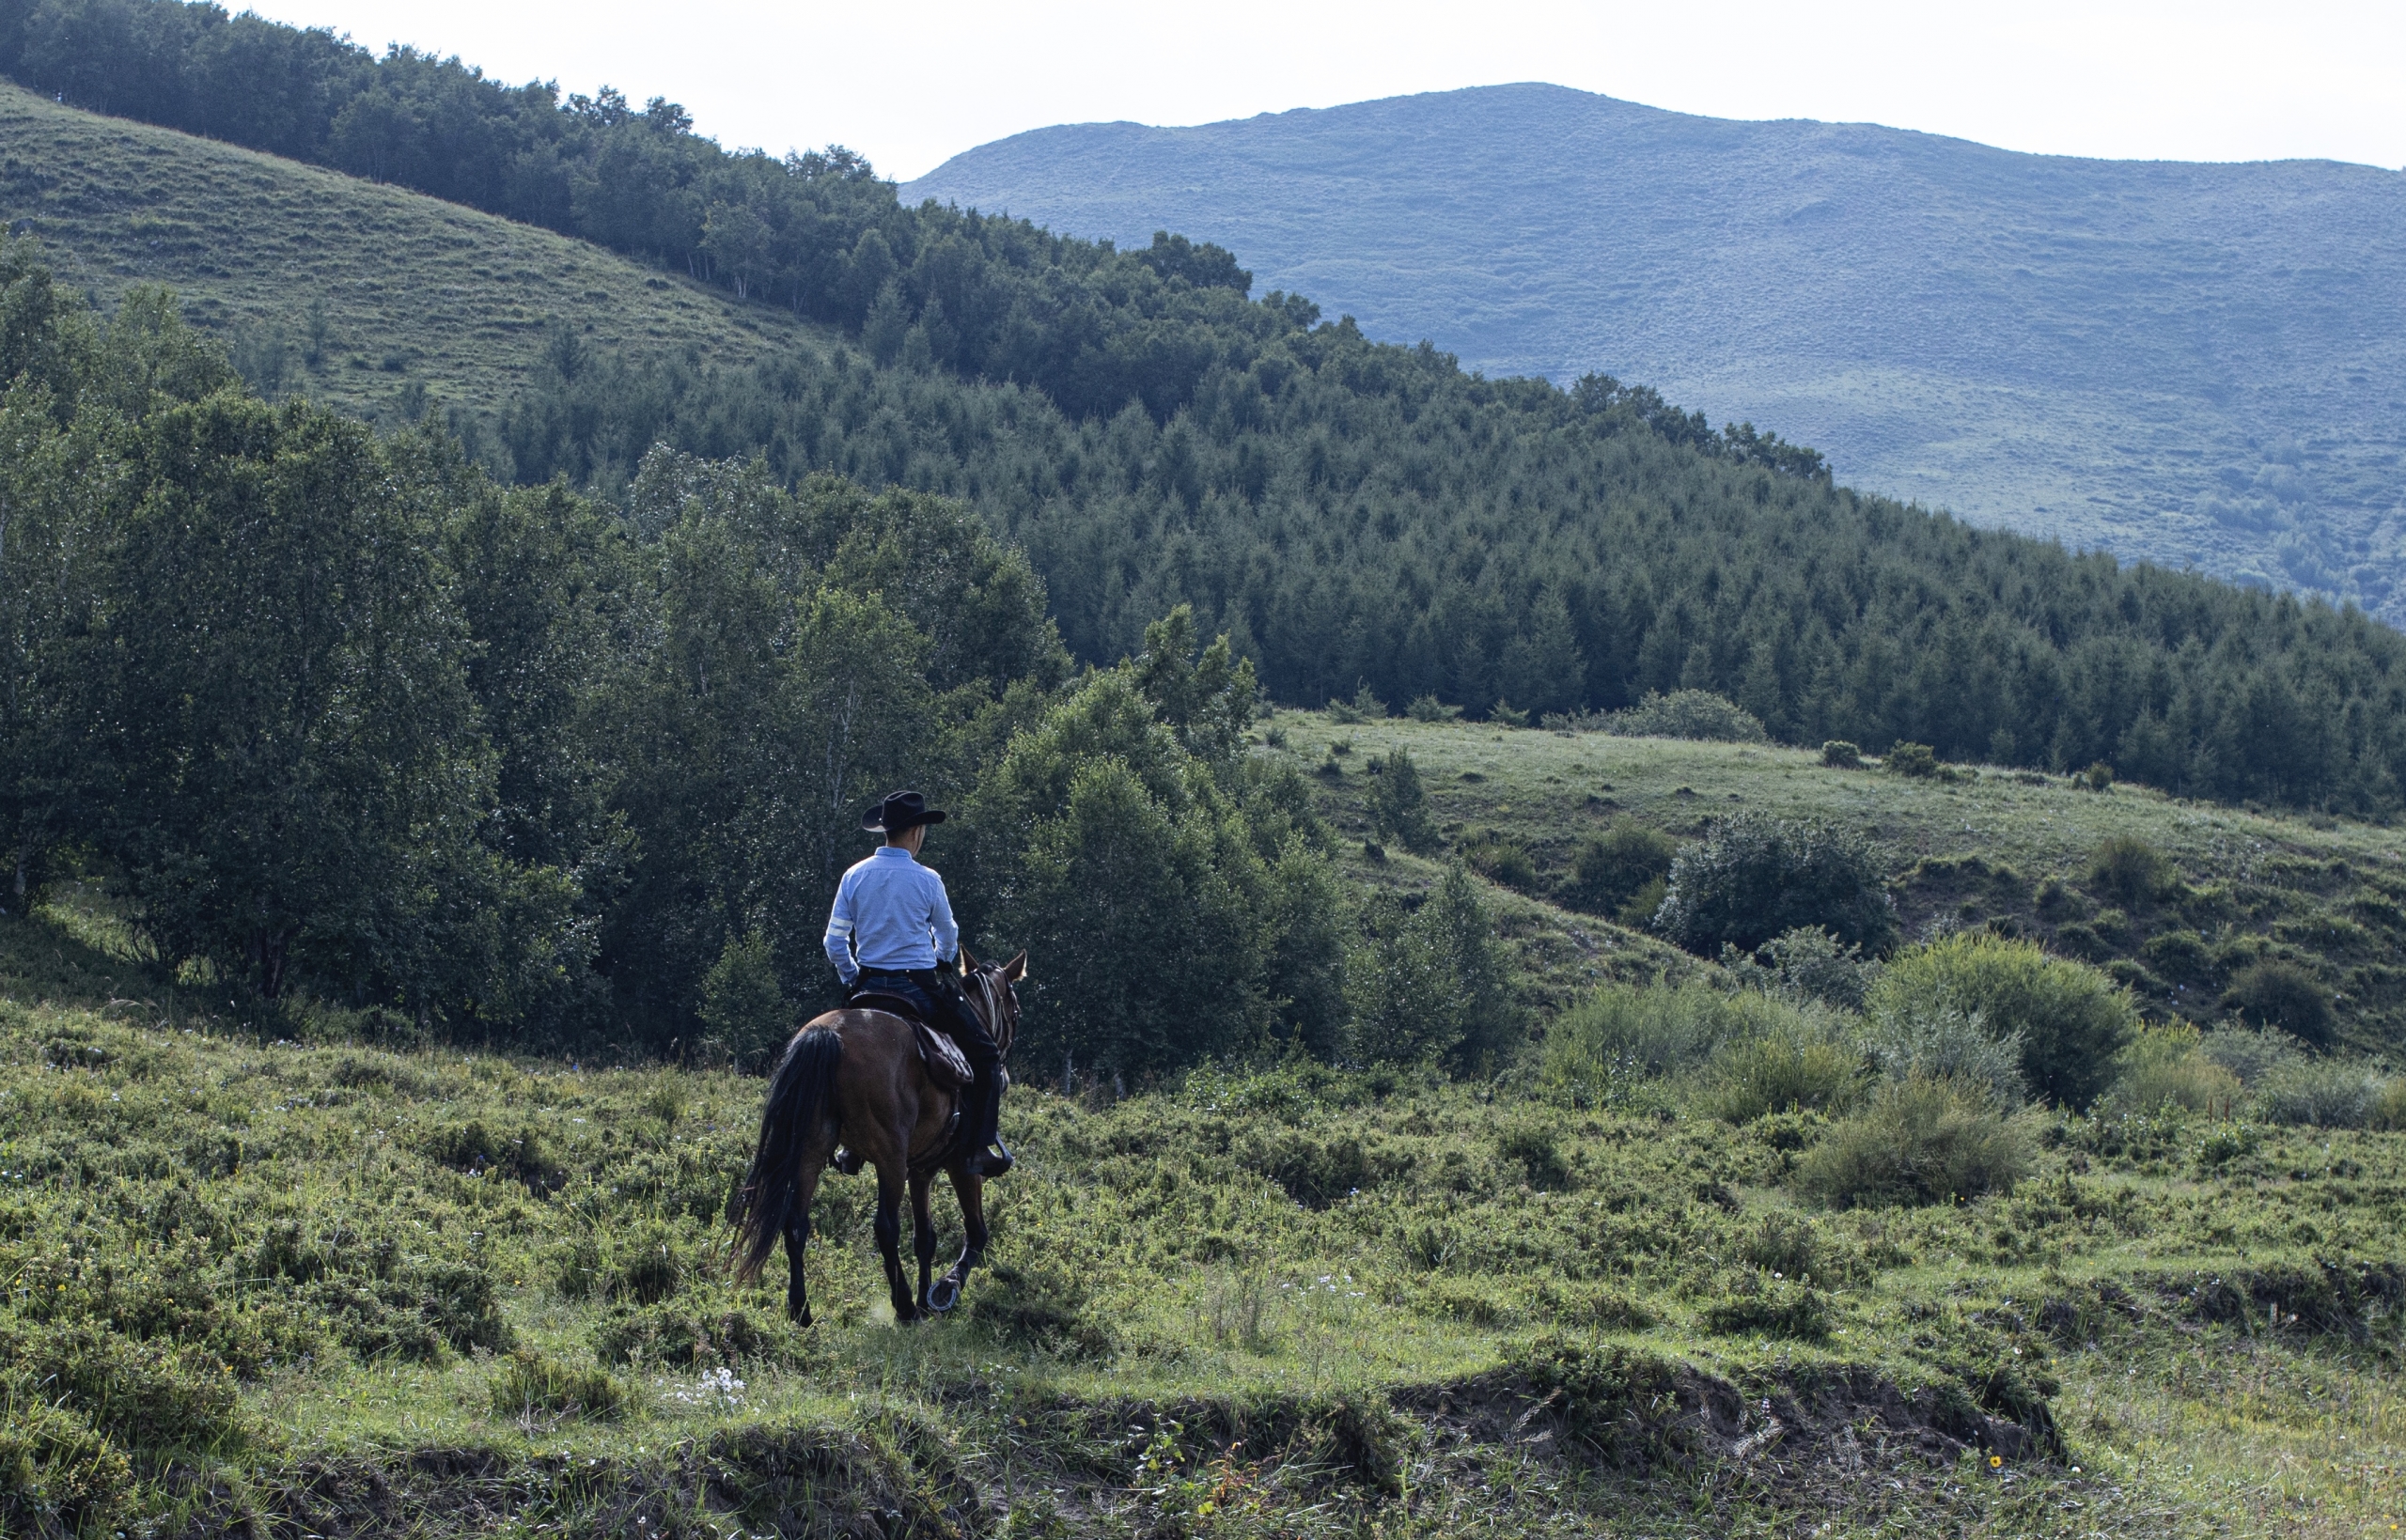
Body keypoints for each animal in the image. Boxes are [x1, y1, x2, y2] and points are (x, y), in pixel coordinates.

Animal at [726, 953, 1020, 1328]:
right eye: (1015, 1009)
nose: (1004, 1072)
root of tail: (829, 1035)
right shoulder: (961, 1165)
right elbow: (976, 1231)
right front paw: (944, 1288)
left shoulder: (920, 1171)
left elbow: (925, 1238)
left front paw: (928, 1299)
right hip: (889, 1158)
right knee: (885, 1228)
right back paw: (904, 1307)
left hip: (810, 1152)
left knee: (796, 1223)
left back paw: (801, 1309)